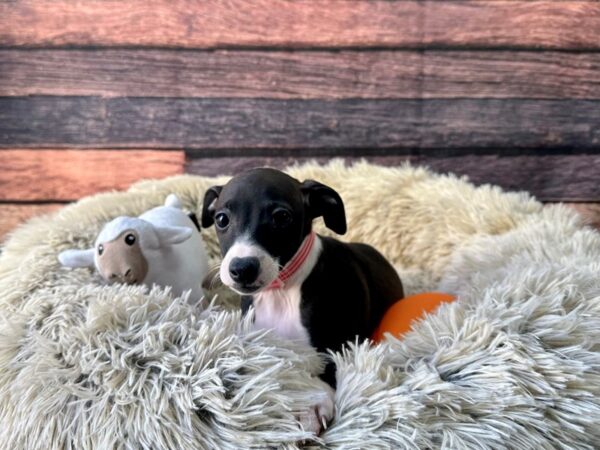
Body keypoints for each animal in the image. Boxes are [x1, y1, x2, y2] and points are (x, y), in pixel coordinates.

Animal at [200, 169, 404, 432]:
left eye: (281, 217)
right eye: (222, 219)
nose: (242, 269)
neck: (280, 292)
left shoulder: (342, 345)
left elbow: (326, 369)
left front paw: (311, 405)